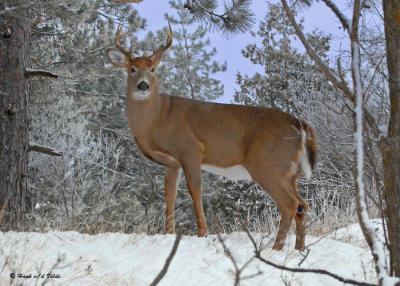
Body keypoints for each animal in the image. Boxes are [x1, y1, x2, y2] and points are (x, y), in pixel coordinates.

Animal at [107, 22, 318, 250]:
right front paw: (167, 232)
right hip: (290, 173)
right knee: (302, 204)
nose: (143, 85)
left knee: (290, 204)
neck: (158, 117)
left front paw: (203, 233)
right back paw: (299, 249)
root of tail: (301, 125)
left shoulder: (191, 149)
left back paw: (276, 248)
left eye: (153, 69)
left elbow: (195, 191)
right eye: (132, 69)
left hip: (269, 166)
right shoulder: (171, 162)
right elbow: (169, 195)